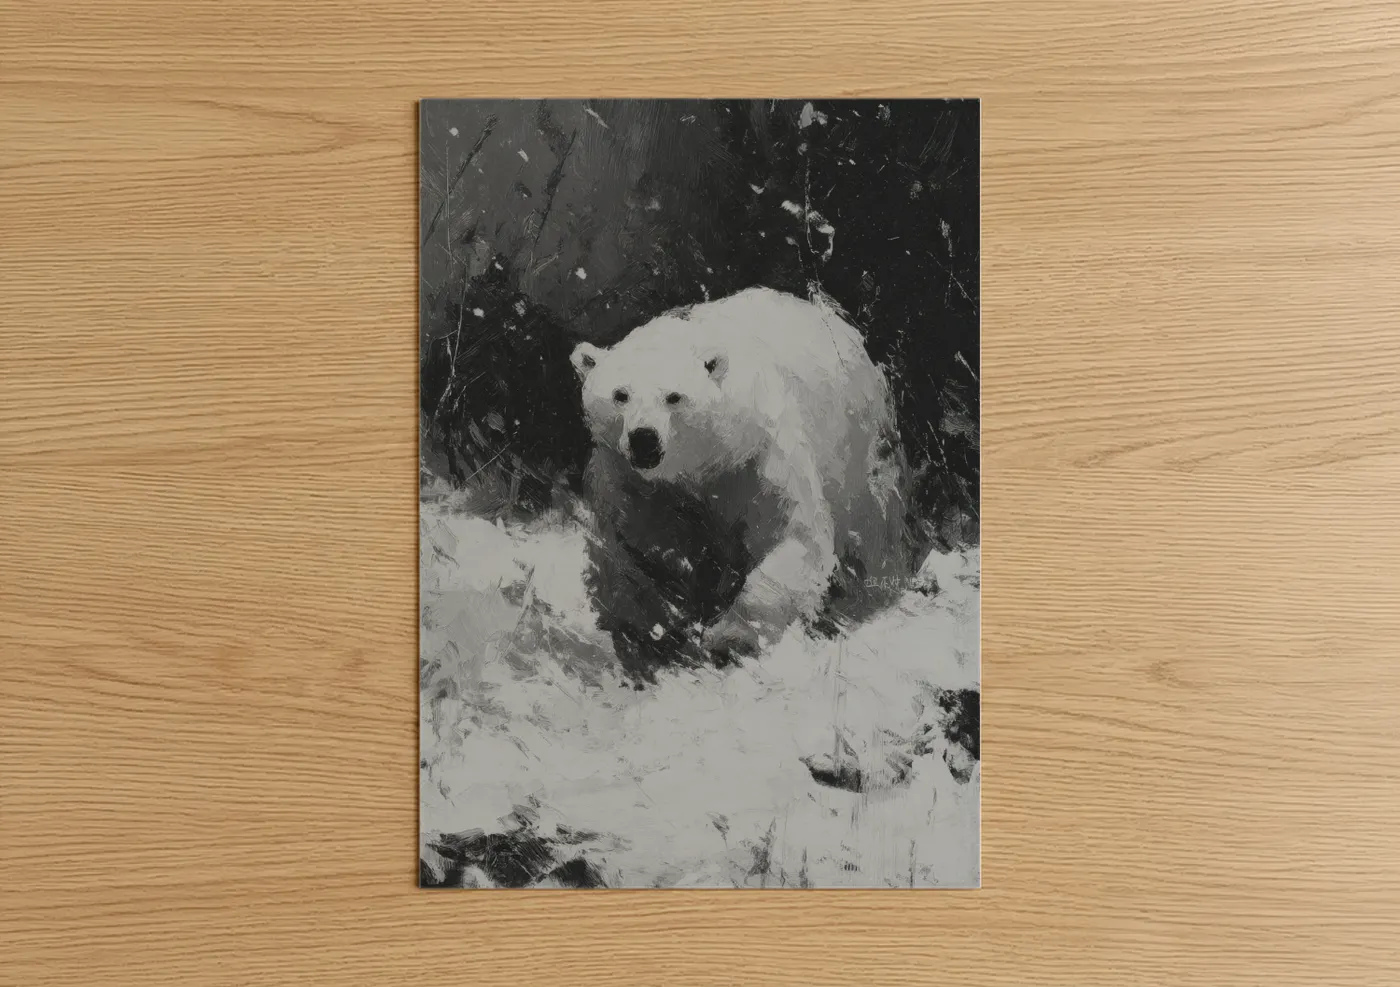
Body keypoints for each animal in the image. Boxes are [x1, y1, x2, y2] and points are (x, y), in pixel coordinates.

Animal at [571, 287, 910, 677]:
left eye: (673, 397)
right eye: (620, 395)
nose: (644, 439)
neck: (704, 463)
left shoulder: (755, 457)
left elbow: (791, 535)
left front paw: (729, 638)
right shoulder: (628, 481)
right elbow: (626, 552)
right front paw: (653, 634)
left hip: (860, 445)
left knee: (873, 526)